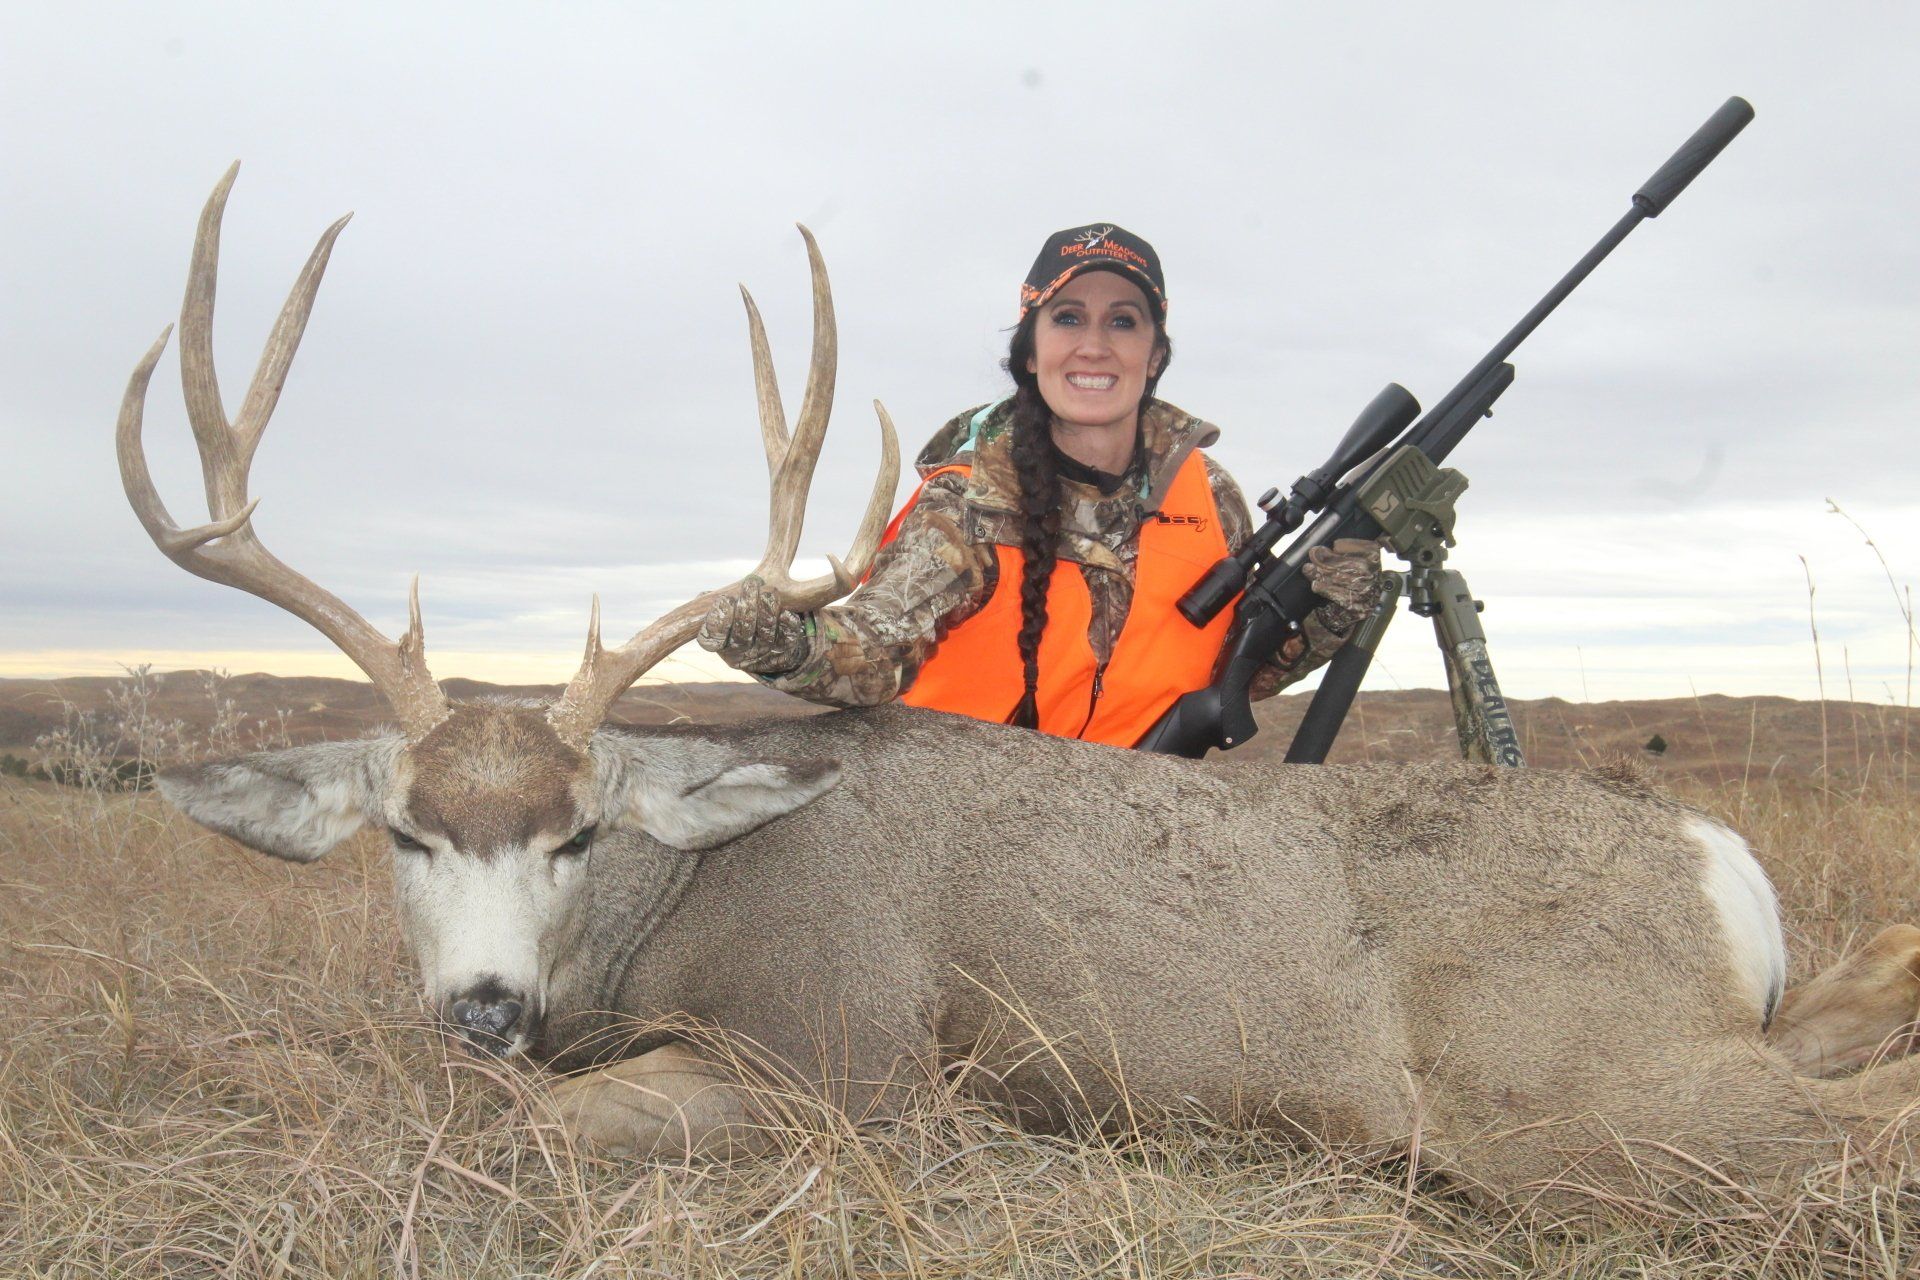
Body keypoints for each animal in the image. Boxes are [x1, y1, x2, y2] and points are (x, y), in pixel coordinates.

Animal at [120, 166, 1920, 1208]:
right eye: (405, 833)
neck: (684, 899)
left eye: (575, 832)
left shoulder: (847, 1064)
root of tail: (1718, 859)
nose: (488, 1003)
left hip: (1581, 1094)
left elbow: (519, 1127)